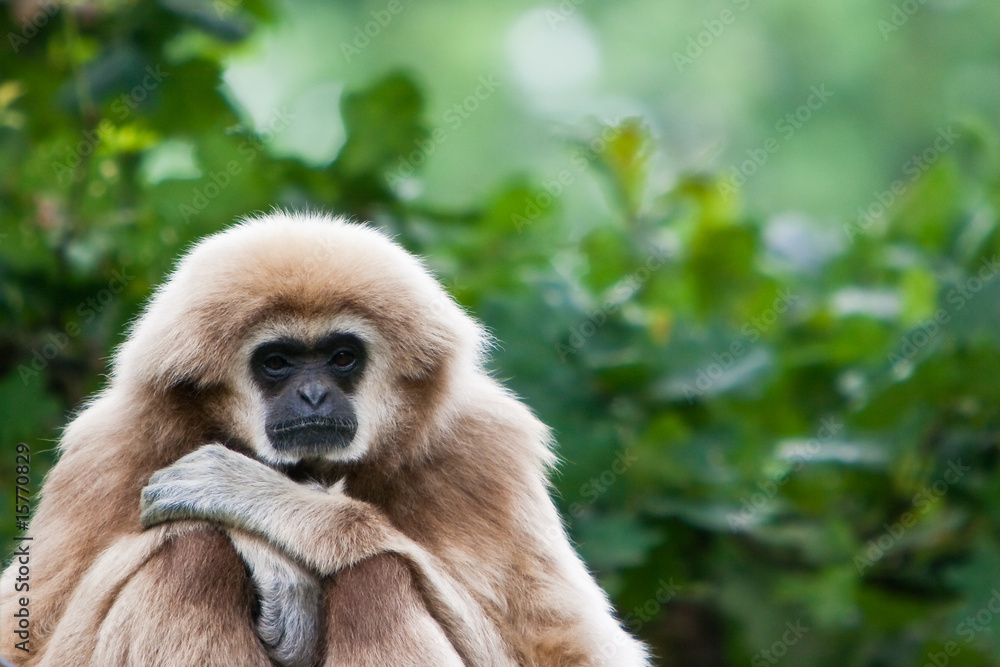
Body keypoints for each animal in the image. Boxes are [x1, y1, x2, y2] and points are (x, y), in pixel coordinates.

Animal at [0, 212, 651, 667]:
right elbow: (25, 644)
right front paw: (277, 562)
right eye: (277, 363)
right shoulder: (110, 447)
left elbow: (573, 653)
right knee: (191, 550)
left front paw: (272, 510)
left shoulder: (487, 447)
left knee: (377, 576)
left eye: (341, 357)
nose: (313, 395)